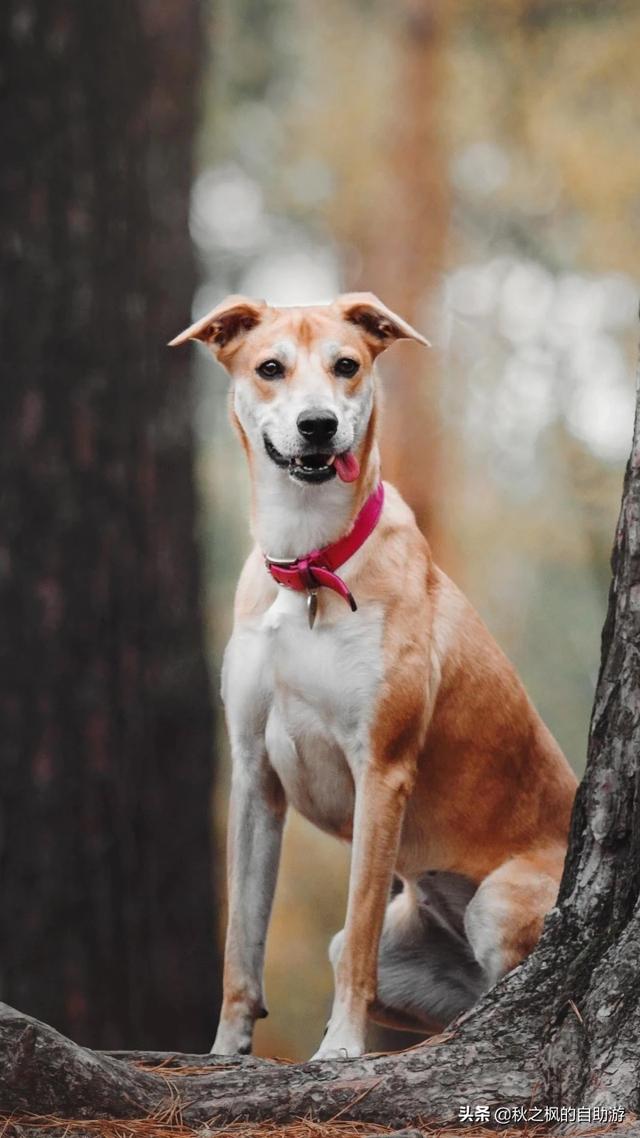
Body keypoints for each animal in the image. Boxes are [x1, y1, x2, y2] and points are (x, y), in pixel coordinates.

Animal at [168, 291, 573, 1056]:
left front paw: (342, 1049)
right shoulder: (253, 776)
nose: (318, 425)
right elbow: (242, 941)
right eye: (270, 368)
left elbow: (356, 932)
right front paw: (226, 1051)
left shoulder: (381, 770)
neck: (309, 563)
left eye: (347, 366)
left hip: (498, 903)